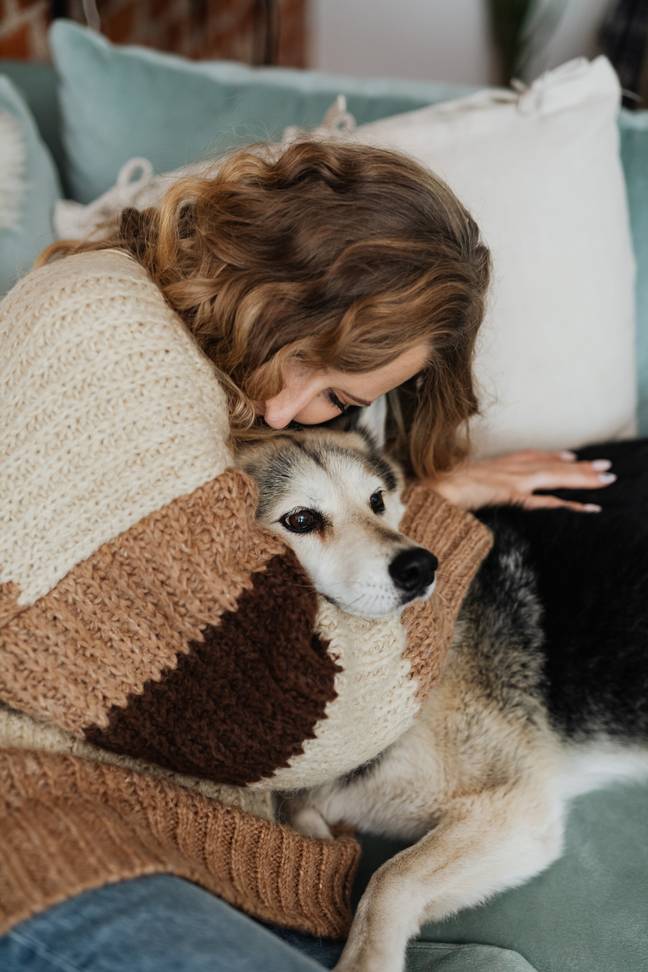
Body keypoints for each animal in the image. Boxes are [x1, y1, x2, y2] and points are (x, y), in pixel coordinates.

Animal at [237, 408, 648, 972]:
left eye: (376, 501)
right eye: (300, 520)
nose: (421, 566)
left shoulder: (509, 807)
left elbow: (390, 880)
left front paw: (366, 957)